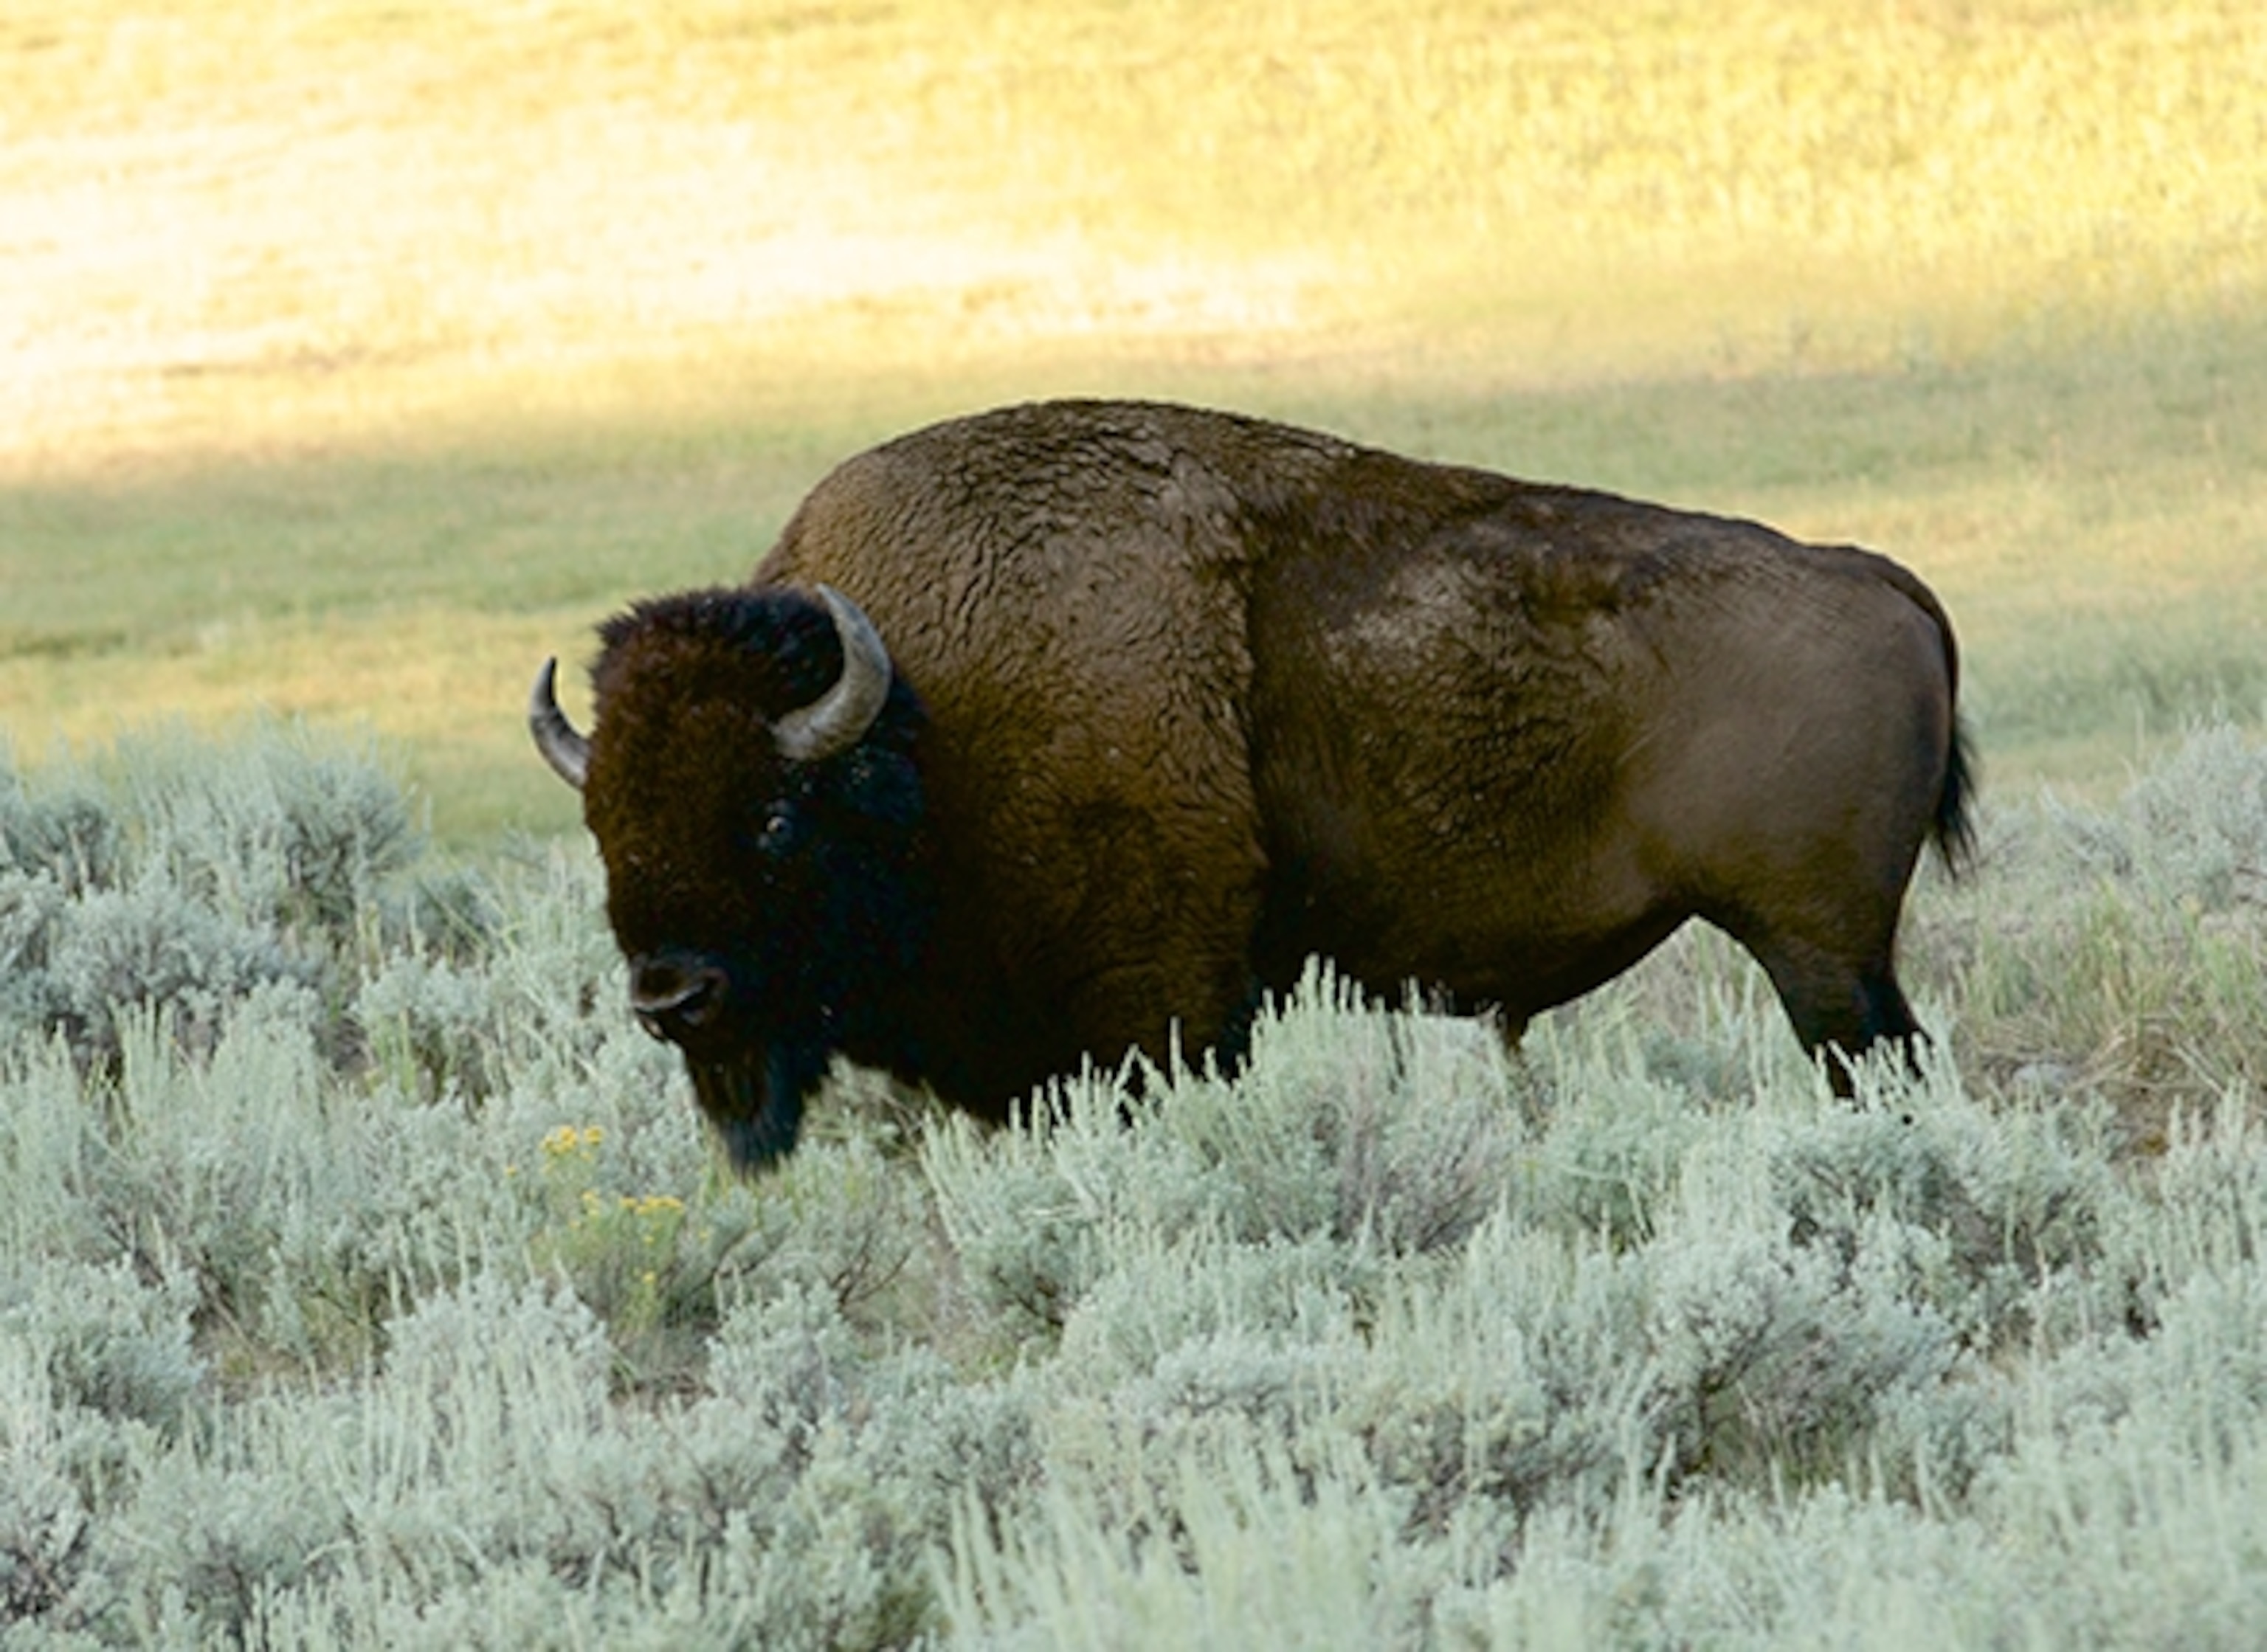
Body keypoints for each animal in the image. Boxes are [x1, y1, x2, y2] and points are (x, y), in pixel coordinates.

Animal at [531, 398, 1972, 1170]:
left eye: (772, 814)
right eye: (606, 823)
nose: (672, 995)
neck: (926, 719)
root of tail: (1871, 573)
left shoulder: (1157, 1008)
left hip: (1817, 953)